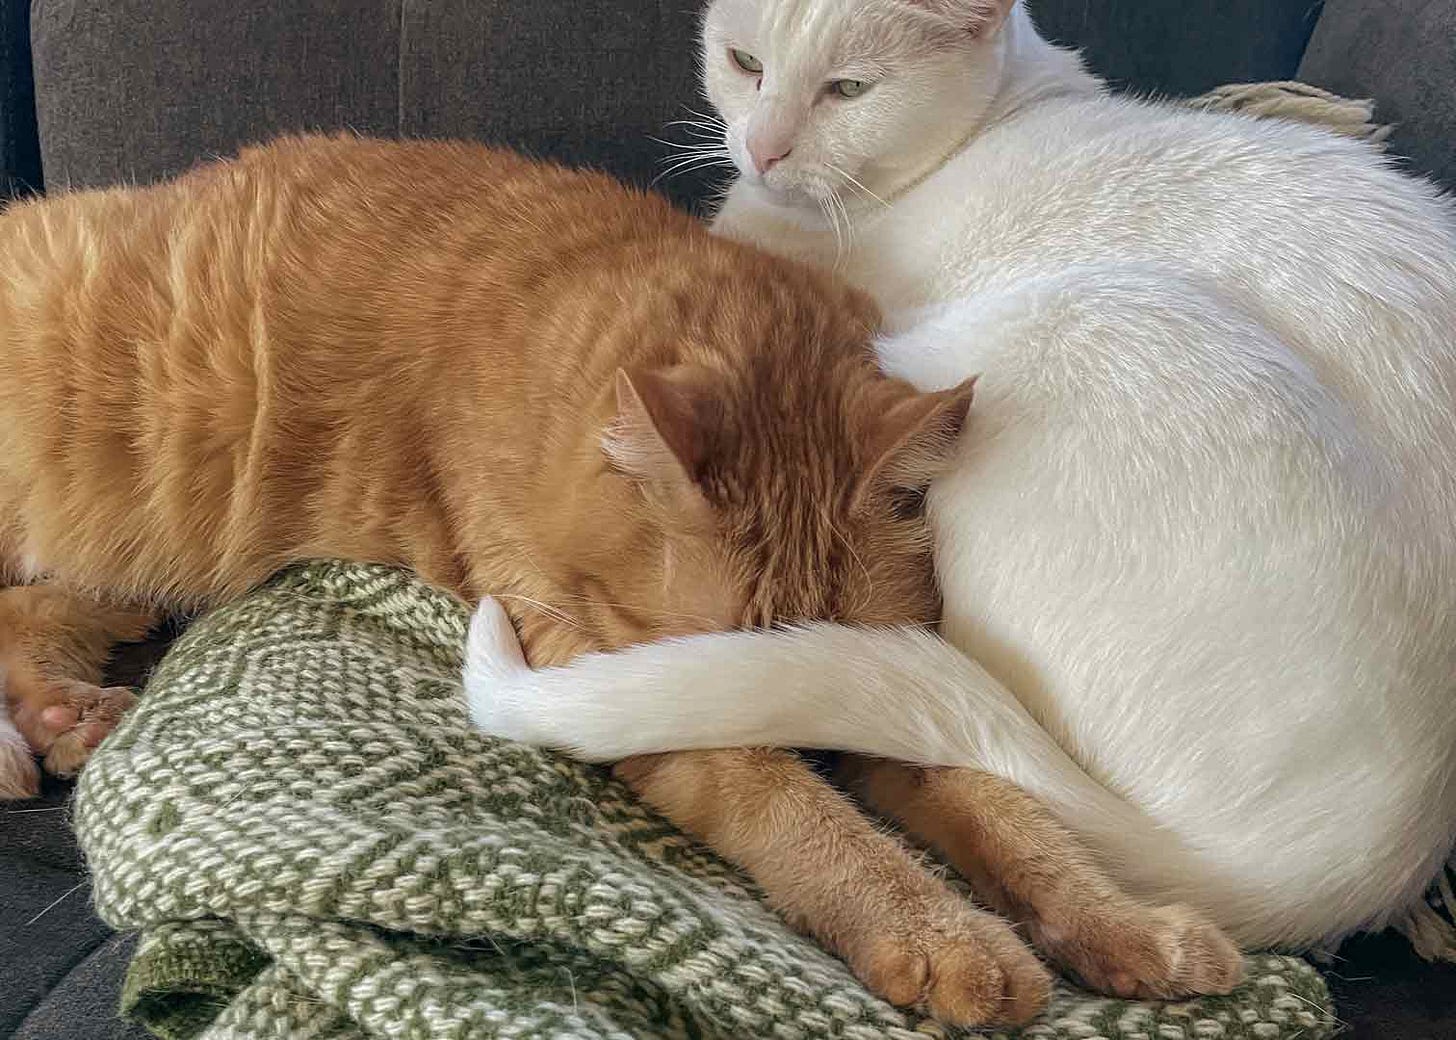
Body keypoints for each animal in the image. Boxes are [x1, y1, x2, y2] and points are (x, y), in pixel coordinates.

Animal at [0, 135, 1228, 1019]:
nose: (807, 724)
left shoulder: (899, 685)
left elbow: (1009, 812)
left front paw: (1120, 922)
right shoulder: (605, 672)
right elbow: (797, 809)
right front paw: (939, 930)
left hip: (112, 570)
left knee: (35, 616)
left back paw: (64, 714)